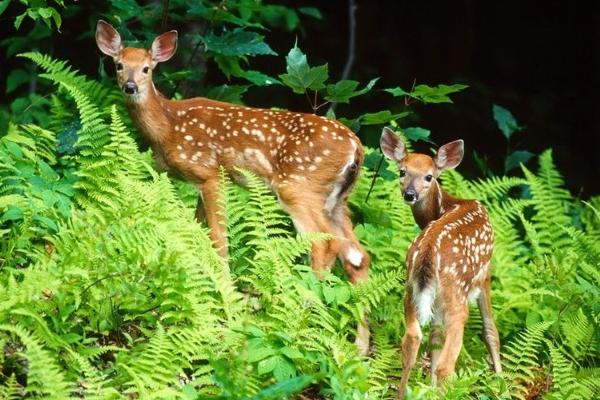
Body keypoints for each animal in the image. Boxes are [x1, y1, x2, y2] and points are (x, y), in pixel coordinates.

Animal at [95, 21, 370, 354]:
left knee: (323, 244)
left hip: (298, 185)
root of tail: (356, 148)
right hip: (337, 200)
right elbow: (196, 236)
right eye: (119, 65)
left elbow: (218, 241)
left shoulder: (211, 173)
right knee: (357, 256)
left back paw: (301, 321)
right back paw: (360, 347)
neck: (169, 127)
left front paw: (227, 304)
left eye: (147, 68)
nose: (130, 86)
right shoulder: (198, 183)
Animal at [380, 127, 502, 396]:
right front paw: (502, 382)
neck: (448, 204)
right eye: (402, 171)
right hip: (457, 294)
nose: (410, 194)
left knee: (412, 339)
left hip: (411, 287)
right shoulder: (485, 273)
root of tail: (427, 251)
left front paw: (429, 388)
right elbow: (490, 331)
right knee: (448, 363)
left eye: (429, 176)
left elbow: (434, 336)